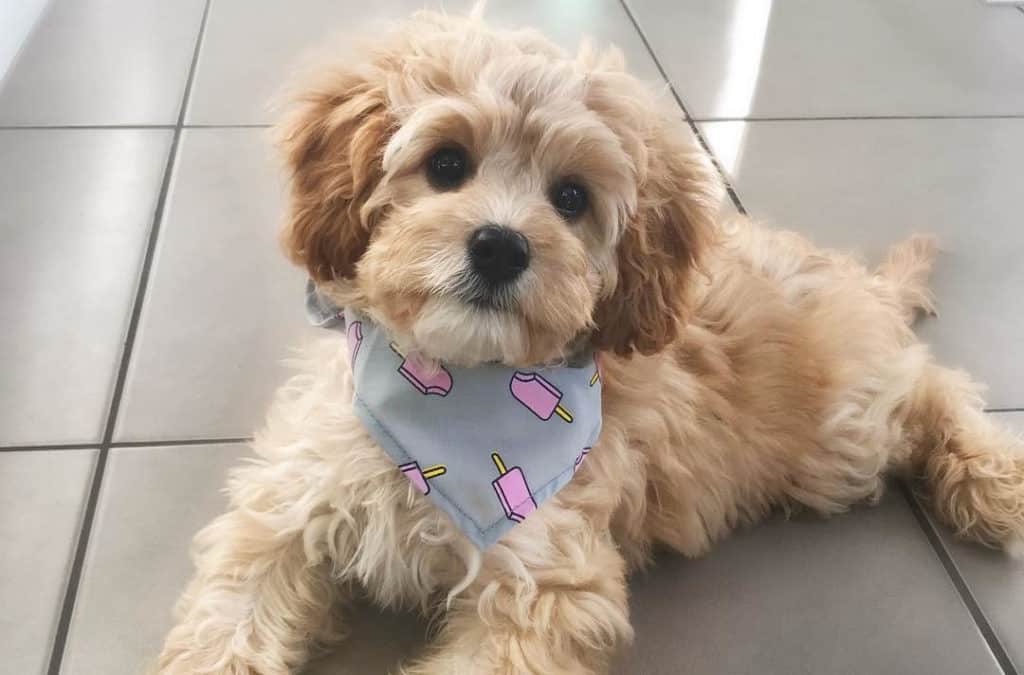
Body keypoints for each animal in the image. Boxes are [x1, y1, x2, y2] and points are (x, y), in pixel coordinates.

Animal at [153, 6, 1024, 675]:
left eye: (571, 197)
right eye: (446, 163)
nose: (500, 246)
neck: (453, 393)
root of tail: (855, 278)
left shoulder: (545, 579)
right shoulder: (282, 507)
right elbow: (230, 607)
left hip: (840, 433)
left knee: (932, 388)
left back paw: (993, 480)